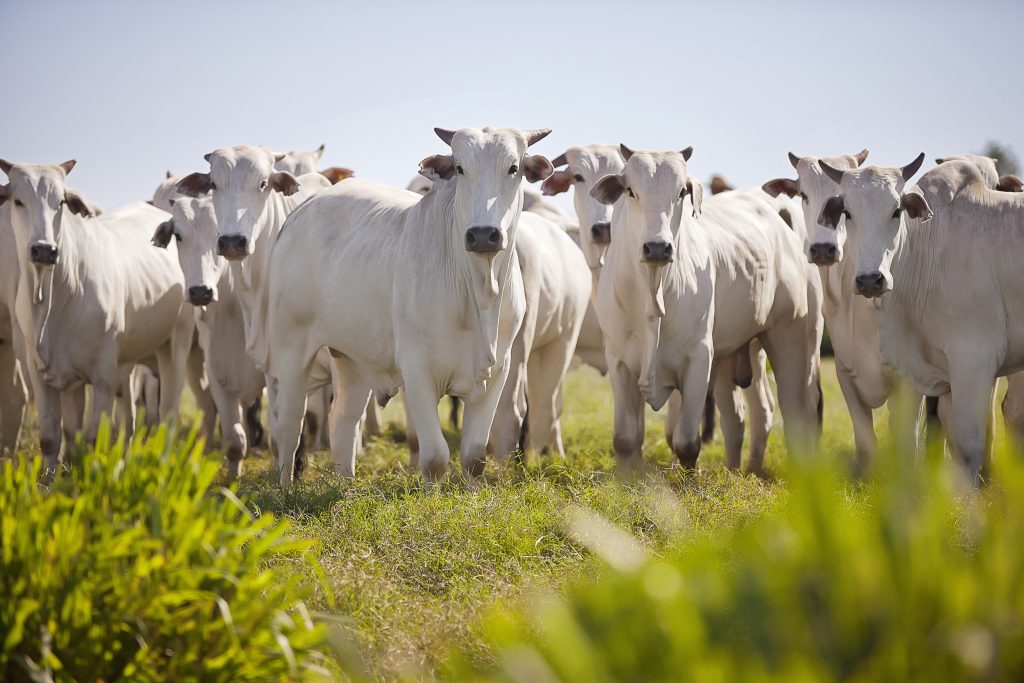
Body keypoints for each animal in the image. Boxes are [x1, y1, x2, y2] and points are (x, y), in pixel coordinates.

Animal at [0, 160, 192, 471]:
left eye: (61, 202)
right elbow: (56, 437)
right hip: (125, 363)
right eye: (18, 201)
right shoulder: (43, 373)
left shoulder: (102, 375)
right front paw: (50, 479)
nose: (44, 249)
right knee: (129, 420)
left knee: (168, 413)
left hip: (176, 344)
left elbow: (94, 438)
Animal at [264, 125, 552, 483]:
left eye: (513, 168)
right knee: (289, 425)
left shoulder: (498, 370)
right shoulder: (416, 369)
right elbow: (435, 458)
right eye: (459, 168)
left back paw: (346, 484)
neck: (479, 293)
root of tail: (302, 211)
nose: (484, 234)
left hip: (351, 357)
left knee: (342, 420)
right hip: (291, 349)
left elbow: (474, 457)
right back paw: (285, 486)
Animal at [593, 147, 823, 473]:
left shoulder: (699, 358)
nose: (657, 247)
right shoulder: (619, 360)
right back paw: (742, 470)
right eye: (630, 190)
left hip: (793, 338)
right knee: (745, 415)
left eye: (681, 192)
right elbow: (626, 440)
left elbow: (686, 442)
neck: (652, 294)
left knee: (797, 412)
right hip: (736, 353)